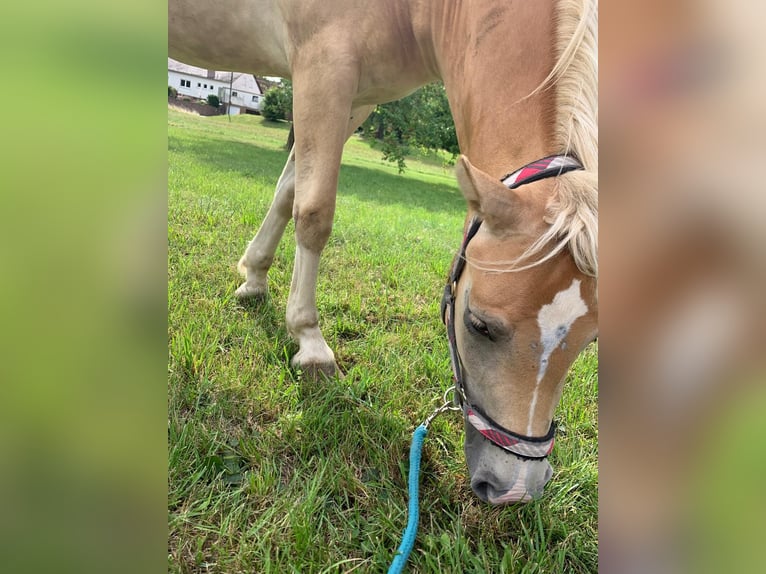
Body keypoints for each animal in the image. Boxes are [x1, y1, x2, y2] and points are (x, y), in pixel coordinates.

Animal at [168, 0, 600, 504]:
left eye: (591, 342)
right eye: (479, 325)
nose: (514, 489)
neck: (417, 13)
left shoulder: (356, 99)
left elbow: (288, 191)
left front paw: (254, 278)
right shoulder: (323, 69)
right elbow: (313, 212)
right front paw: (310, 343)